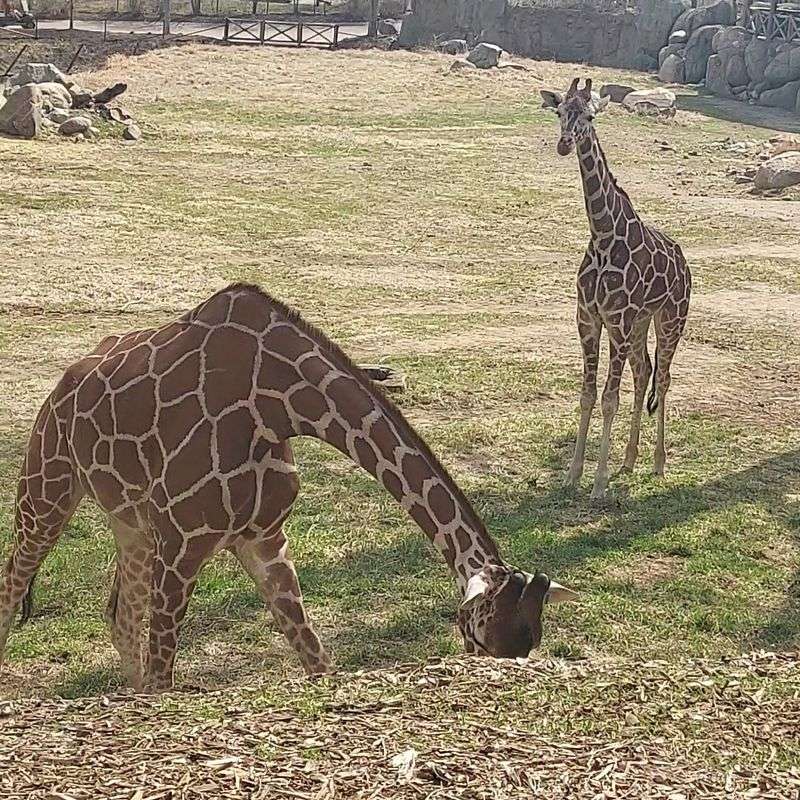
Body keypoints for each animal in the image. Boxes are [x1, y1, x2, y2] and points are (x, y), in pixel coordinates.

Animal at [0, 283, 577, 692]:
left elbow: (319, 661)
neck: (280, 405)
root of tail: (64, 379)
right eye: (477, 632)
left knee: (119, 616)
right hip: (47, 485)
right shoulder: (186, 540)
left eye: (527, 643)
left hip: (132, 523)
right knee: (14, 585)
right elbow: (165, 677)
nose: (481, 674)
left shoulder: (263, 538)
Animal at [541, 78, 692, 501]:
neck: (603, 234)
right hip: (641, 324)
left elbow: (609, 399)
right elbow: (588, 395)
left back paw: (657, 463)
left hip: (670, 319)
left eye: (591, 116)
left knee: (663, 378)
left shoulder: (618, 322)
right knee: (643, 373)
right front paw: (573, 474)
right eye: (561, 112)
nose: (564, 144)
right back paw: (629, 459)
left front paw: (598, 484)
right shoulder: (589, 320)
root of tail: (685, 263)